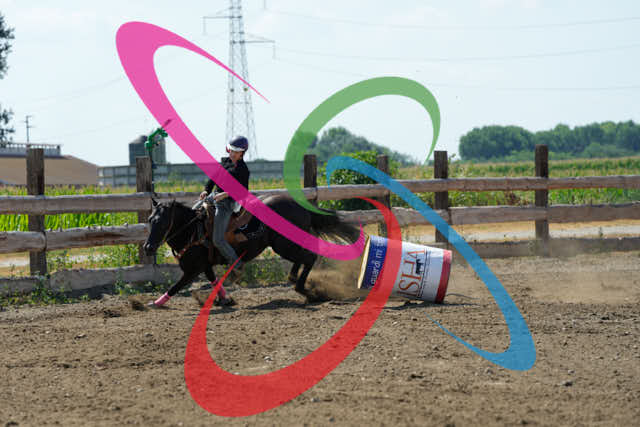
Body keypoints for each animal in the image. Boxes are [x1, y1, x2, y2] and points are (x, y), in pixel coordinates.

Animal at [142, 194, 360, 307]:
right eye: (151, 219)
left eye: (163, 222)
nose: (148, 247)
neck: (192, 229)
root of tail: (300, 206)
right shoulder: (204, 266)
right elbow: (214, 281)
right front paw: (226, 299)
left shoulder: (192, 270)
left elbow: (175, 286)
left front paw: (155, 302)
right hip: (287, 244)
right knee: (304, 258)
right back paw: (294, 280)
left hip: (284, 245)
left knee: (310, 257)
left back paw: (305, 290)